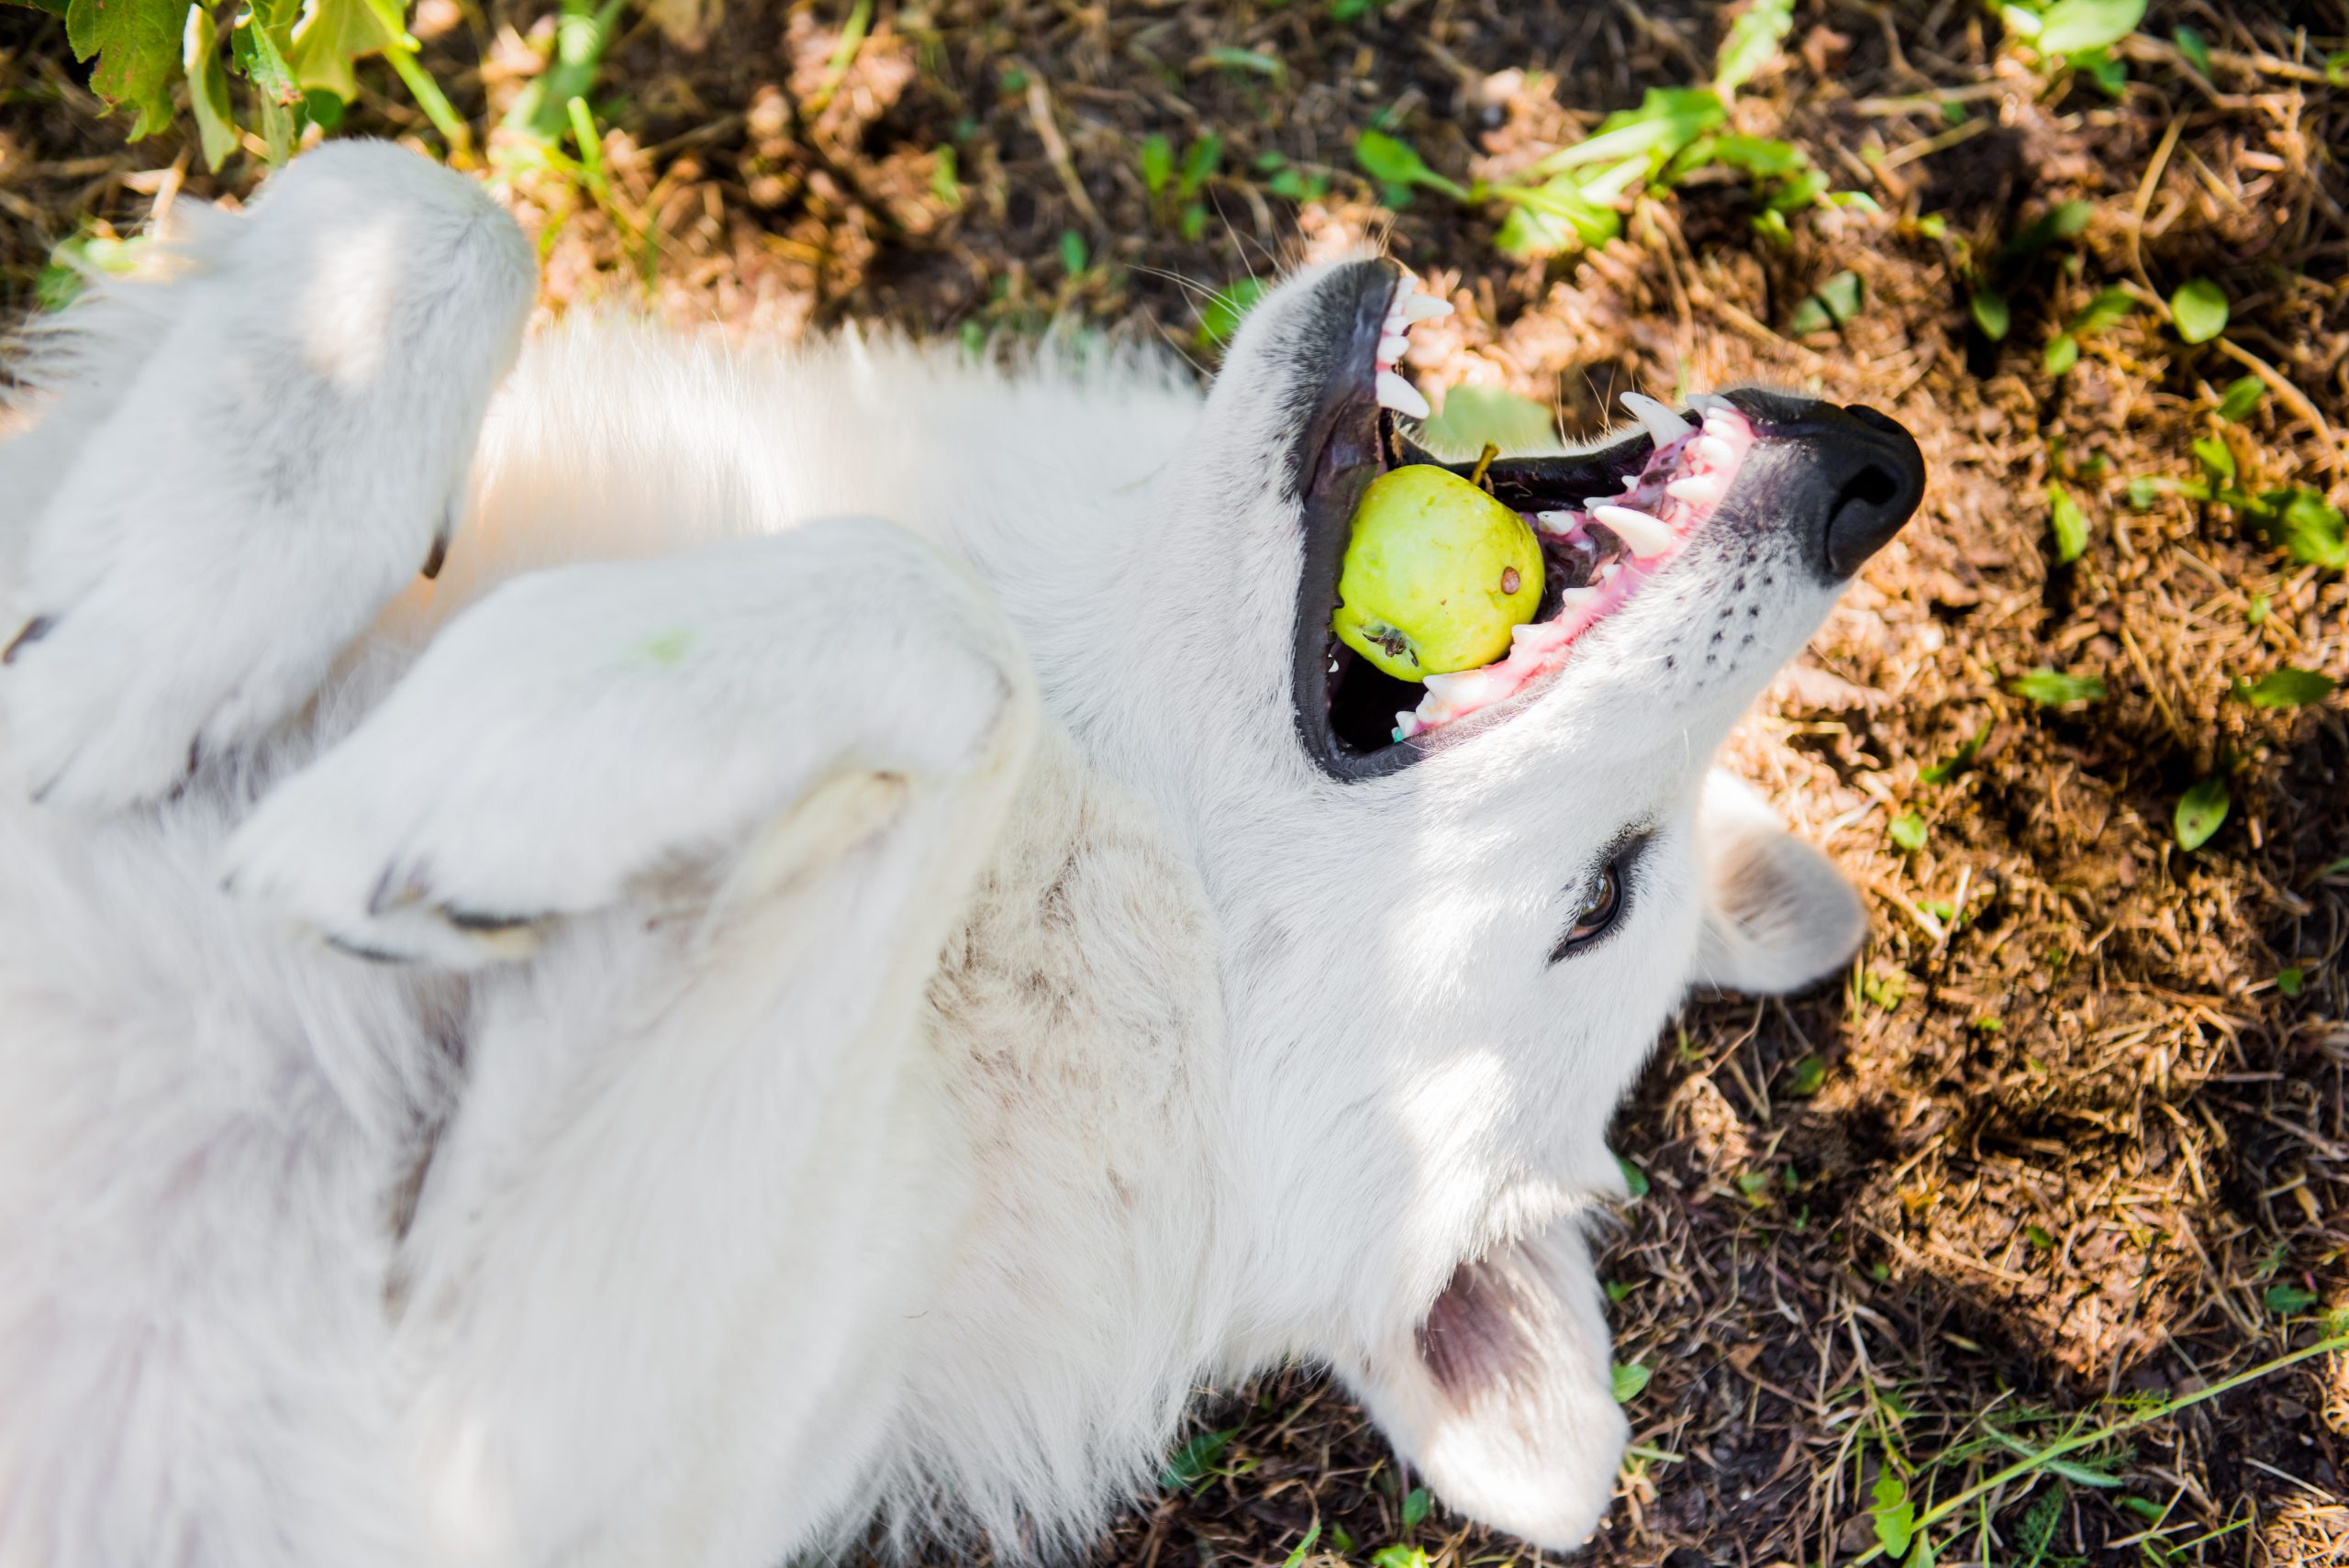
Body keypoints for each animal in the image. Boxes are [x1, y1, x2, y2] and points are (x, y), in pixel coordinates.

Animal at [0, 143, 1916, 1568]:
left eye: (1598, 896)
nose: (1872, 467)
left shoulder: (452, 1420)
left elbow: (938, 637)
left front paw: (475, 763)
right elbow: (431, 203)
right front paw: (166, 604)